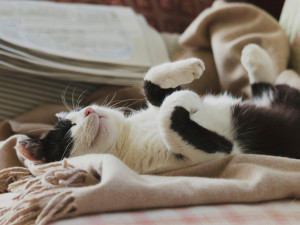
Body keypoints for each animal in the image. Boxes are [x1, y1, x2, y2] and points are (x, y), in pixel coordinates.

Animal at [15, 44, 300, 174]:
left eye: (82, 108)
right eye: (67, 131)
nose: (89, 112)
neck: (128, 136)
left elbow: (150, 84)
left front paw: (189, 69)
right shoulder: (217, 152)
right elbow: (167, 117)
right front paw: (186, 98)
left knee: (274, 89)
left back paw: (254, 54)